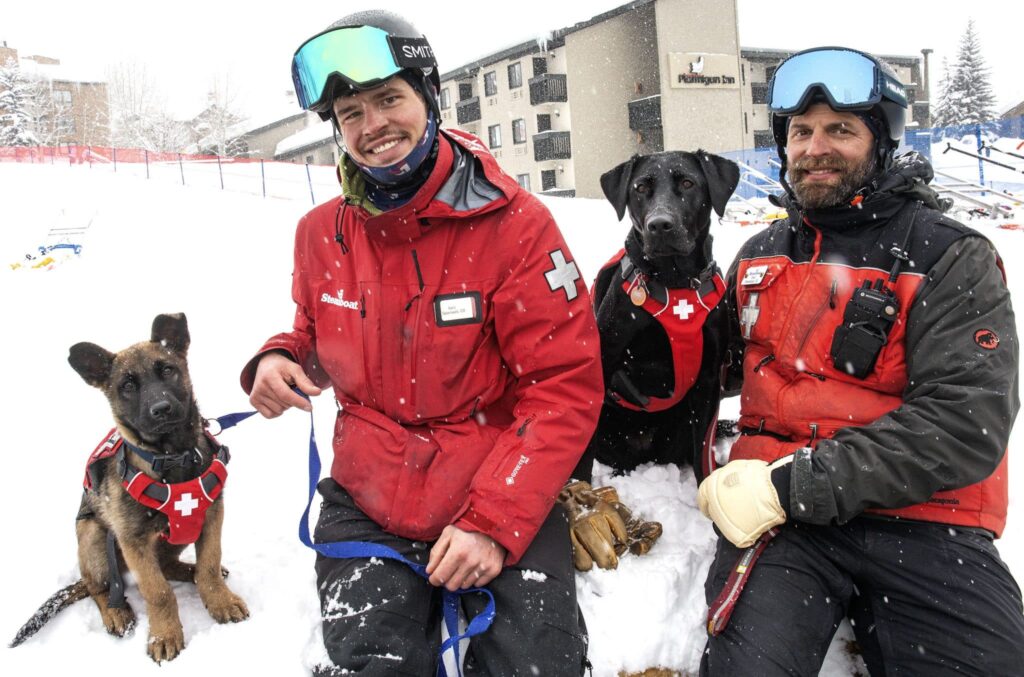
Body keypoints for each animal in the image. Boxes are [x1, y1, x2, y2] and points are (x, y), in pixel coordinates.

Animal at [9, 315, 247, 659]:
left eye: (168, 370)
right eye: (128, 386)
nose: (161, 409)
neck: (172, 457)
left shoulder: (212, 516)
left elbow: (210, 565)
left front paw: (220, 600)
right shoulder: (132, 540)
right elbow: (157, 591)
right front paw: (164, 635)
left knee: (167, 565)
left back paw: (188, 572)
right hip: (94, 536)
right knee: (99, 586)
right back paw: (116, 612)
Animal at [581, 150, 741, 483]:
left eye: (688, 183)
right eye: (640, 188)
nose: (659, 224)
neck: (674, 282)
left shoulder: (709, 378)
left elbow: (702, 451)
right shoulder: (604, 363)